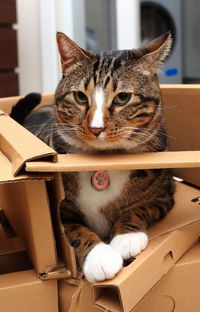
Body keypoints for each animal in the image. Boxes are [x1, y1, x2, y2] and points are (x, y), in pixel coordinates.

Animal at [10, 31, 175, 282]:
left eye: (123, 98)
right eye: (79, 96)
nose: (96, 128)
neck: (103, 160)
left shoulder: (164, 193)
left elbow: (139, 207)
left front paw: (126, 237)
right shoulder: (57, 212)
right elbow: (73, 230)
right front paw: (100, 257)